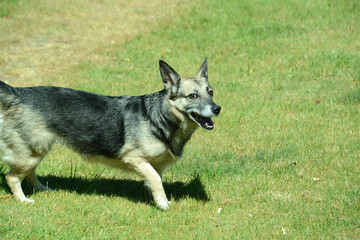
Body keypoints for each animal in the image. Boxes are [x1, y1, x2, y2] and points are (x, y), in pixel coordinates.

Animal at [0, 58, 221, 210]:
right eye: (193, 96)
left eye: (210, 92)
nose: (217, 109)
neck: (159, 117)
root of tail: (18, 94)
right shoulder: (135, 159)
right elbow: (156, 181)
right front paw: (164, 205)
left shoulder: (154, 166)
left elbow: (153, 181)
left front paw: (157, 199)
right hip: (31, 154)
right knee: (11, 177)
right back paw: (23, 199)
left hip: (34, 153)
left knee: (29, 174)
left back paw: (44, 189)